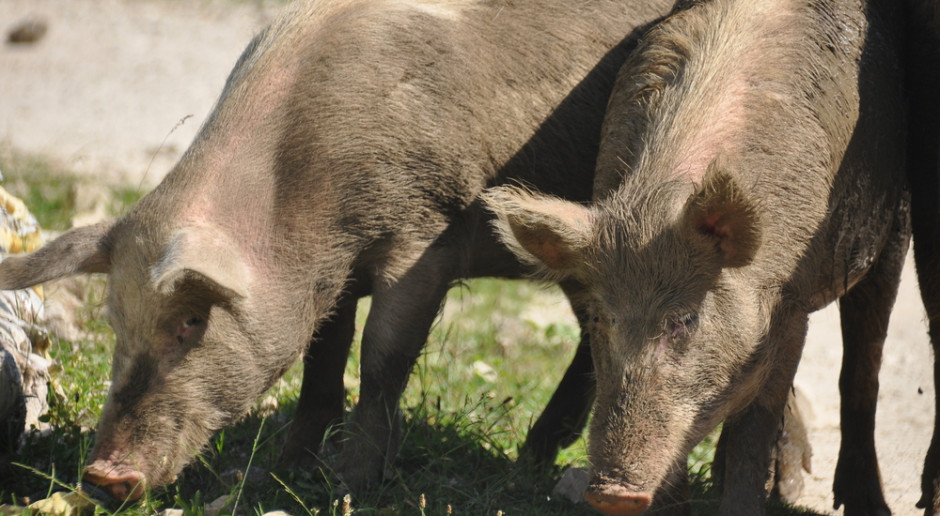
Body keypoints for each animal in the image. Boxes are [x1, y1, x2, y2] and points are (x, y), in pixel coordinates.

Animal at [0, 0, 680, 502]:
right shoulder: (334, 273)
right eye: (116, 322)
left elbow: (381, 357)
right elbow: (323, 357)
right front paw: (285, 469)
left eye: (191, 321)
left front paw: (350, 485)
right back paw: (533, 457)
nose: (102, 476)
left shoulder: (425, 237)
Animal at [484, 0, 912, 512]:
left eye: (685, 319)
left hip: (896, 222)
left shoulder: (790, 308)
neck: (657, 209)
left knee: (864, 366)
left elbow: (756, 425)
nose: (612, 493)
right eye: (600, 319)